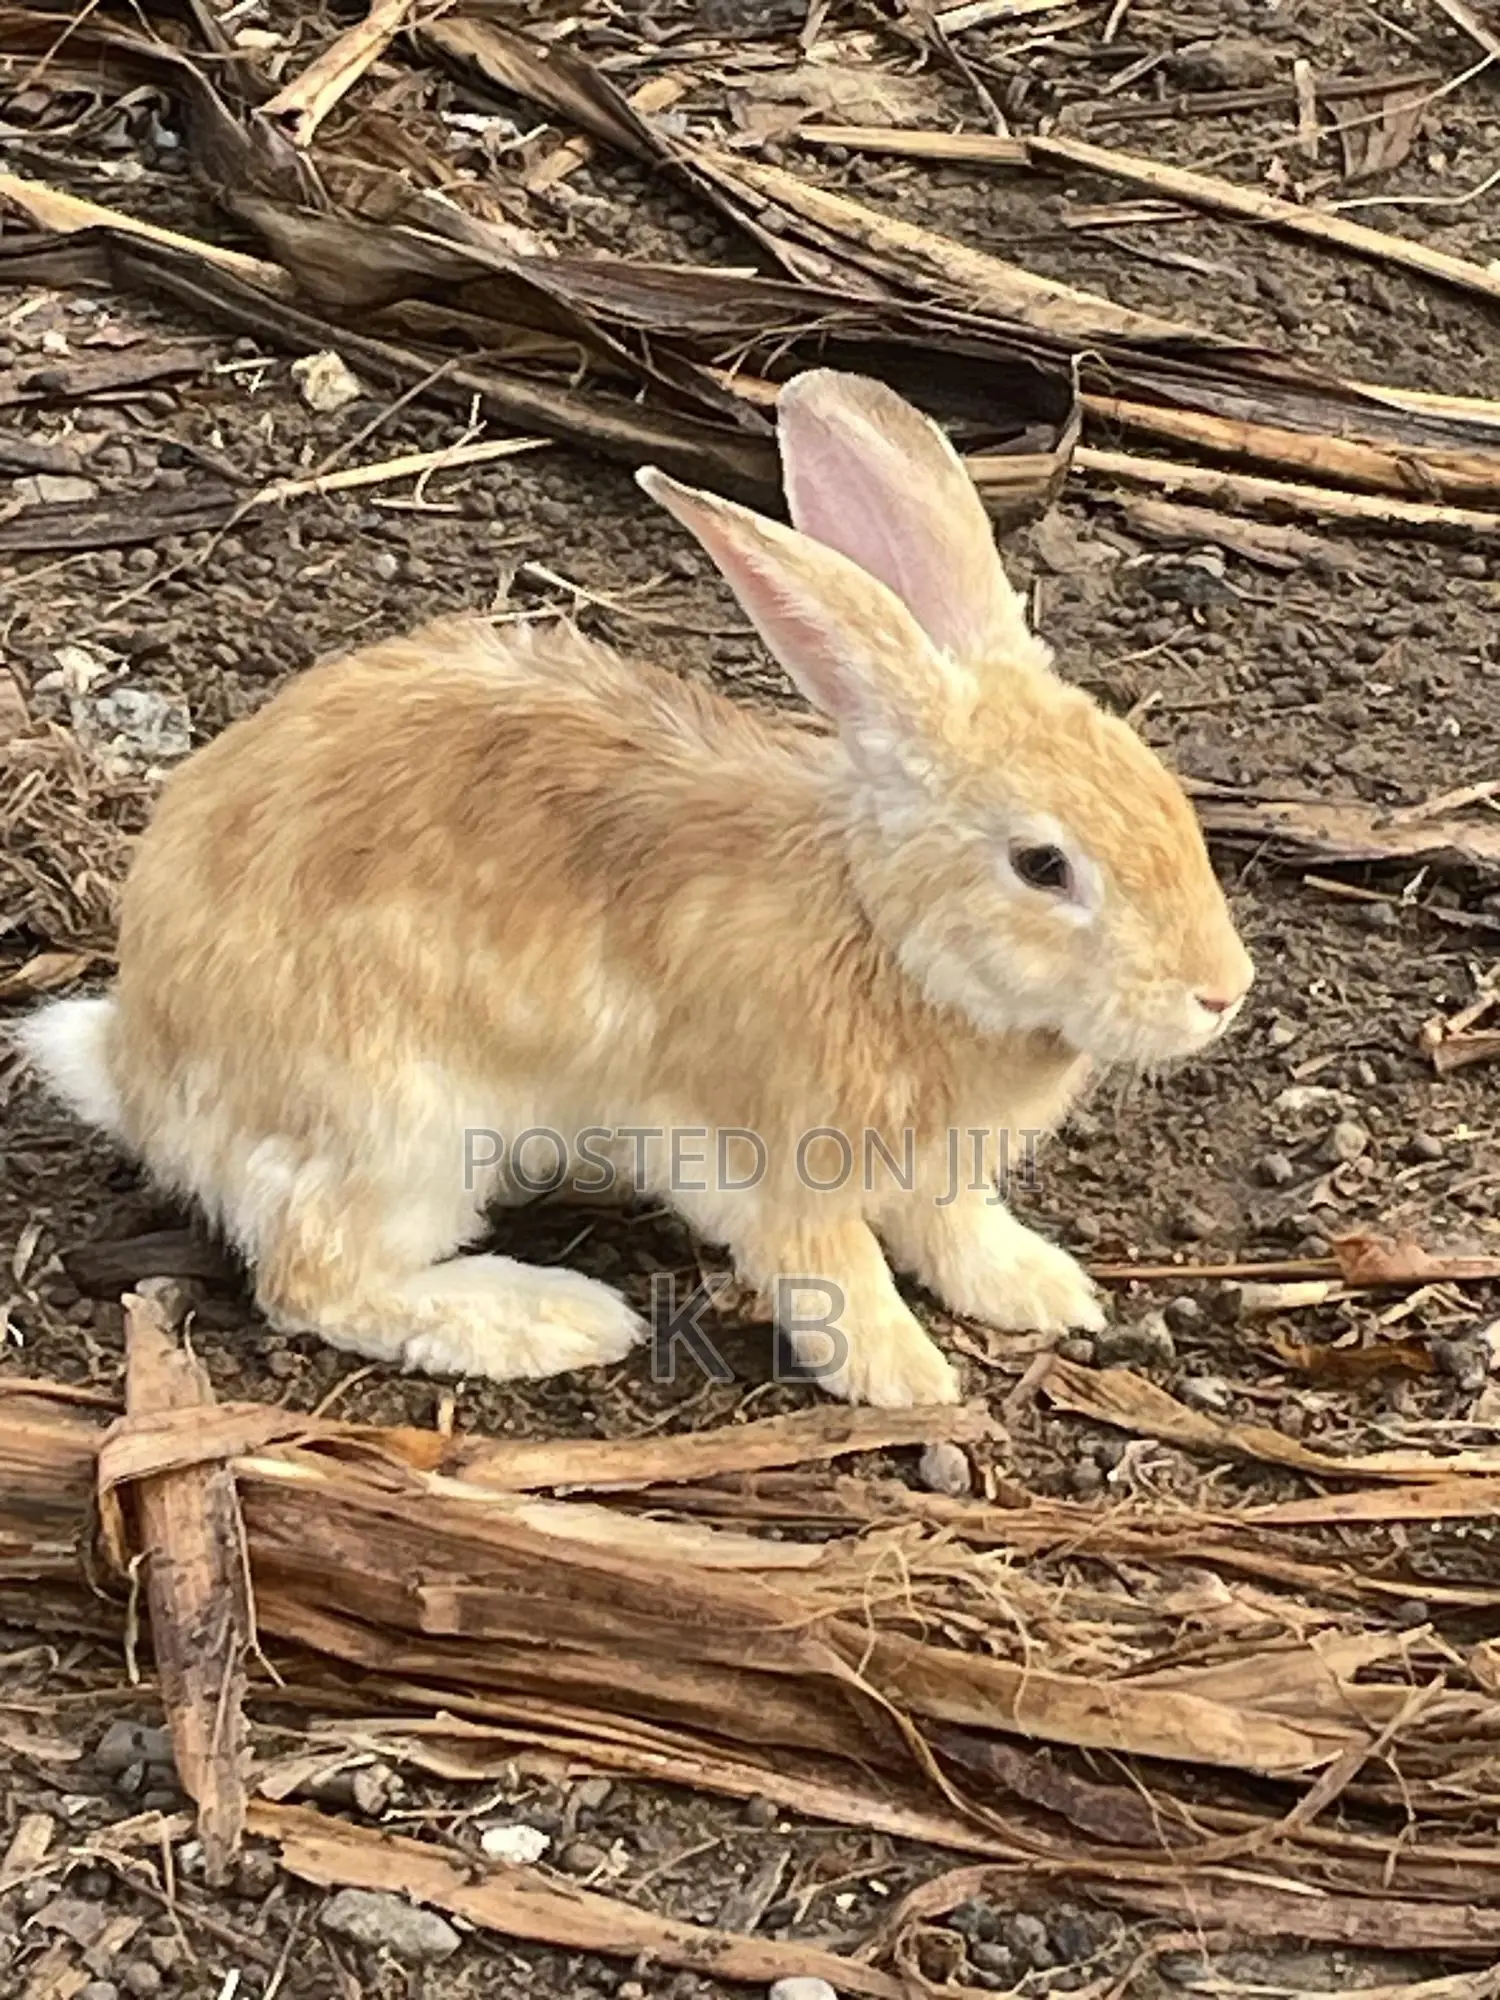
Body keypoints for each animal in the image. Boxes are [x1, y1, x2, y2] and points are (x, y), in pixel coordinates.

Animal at [16, 369, 1252, 1408]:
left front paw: (1044, 1290)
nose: (1221, 992)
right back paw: (558, 1319)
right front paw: (907, 1379)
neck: (883, 935)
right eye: (1043, 866)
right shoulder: (769, 1161)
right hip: (406, 1126)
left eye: (1161, 788)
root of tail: (139, 1061)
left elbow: (951, 1227)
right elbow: (834, 1267)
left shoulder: (929, 1174)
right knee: (316, 1275)